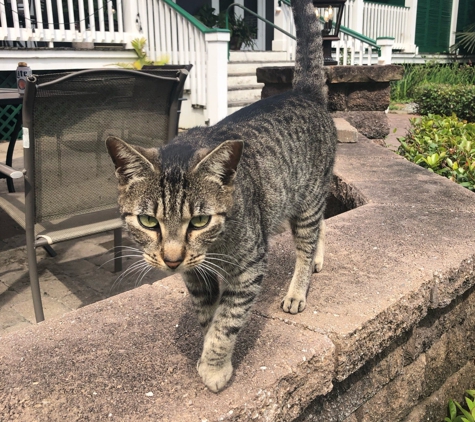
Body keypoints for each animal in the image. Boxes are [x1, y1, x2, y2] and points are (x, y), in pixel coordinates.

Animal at [108, 0, 338, 392]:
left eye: (200, 220)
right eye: (148, 221)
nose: (171, 259)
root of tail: (303, 92)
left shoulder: (249, 268)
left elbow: (226, 323)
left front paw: (215, 367)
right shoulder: (195, 277)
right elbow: (207, 316)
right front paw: (205, 349)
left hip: (307, 200)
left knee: (307, 244)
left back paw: (298, 289)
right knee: (323, 225)